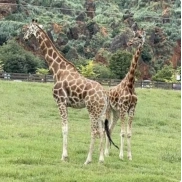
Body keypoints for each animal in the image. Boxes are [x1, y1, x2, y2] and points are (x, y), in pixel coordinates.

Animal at [22, 19, 117, 164]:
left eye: (27, 29)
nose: (25, 38)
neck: (57, 70)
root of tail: (105, 95)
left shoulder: (60, 101)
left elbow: (64, 128)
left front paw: (64, 156)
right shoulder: (66, 104)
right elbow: (68, 127)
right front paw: (66, 155)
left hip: (92, 110)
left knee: (94, 131)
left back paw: (88, 160)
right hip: (101, 112)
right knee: (102, 131)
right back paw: (100, 159)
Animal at [104, 33, 146, 161]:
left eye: (140, 37)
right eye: (135, 35)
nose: (130, 42)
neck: (130, 84)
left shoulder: (132, 109)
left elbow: (129, 133)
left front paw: (129, 156)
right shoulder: (123, 108)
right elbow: (122, 133)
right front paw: (121, 156)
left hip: (116, 113)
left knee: (110, 129)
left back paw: (107, 152)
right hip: (109, 110)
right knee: (107, 129)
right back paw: (105, 152)